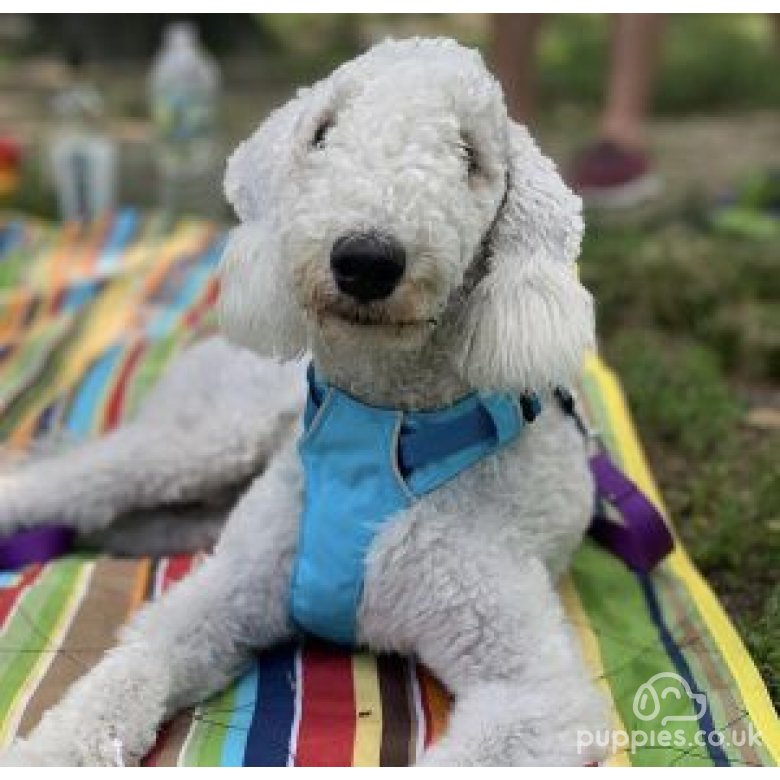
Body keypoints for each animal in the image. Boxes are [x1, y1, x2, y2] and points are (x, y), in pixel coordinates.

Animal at [0, 39, 608, 764]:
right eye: (322, 133)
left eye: (470, 156)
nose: (367, 260)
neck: (378, 427)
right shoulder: (223, 594)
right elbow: (129, 669)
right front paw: (49, 753)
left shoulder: (537, 694)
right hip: (207, 438)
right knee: (69, 480)